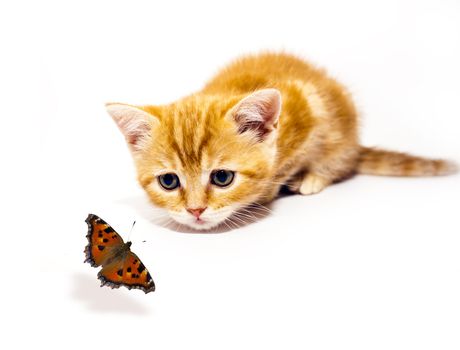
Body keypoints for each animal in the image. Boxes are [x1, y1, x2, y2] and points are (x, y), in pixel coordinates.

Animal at [107, 52, 456, 230]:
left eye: (222, 178)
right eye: (168, 181)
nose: (195, 211)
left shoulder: (309, 117)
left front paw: (272, 189)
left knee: (342, 160)